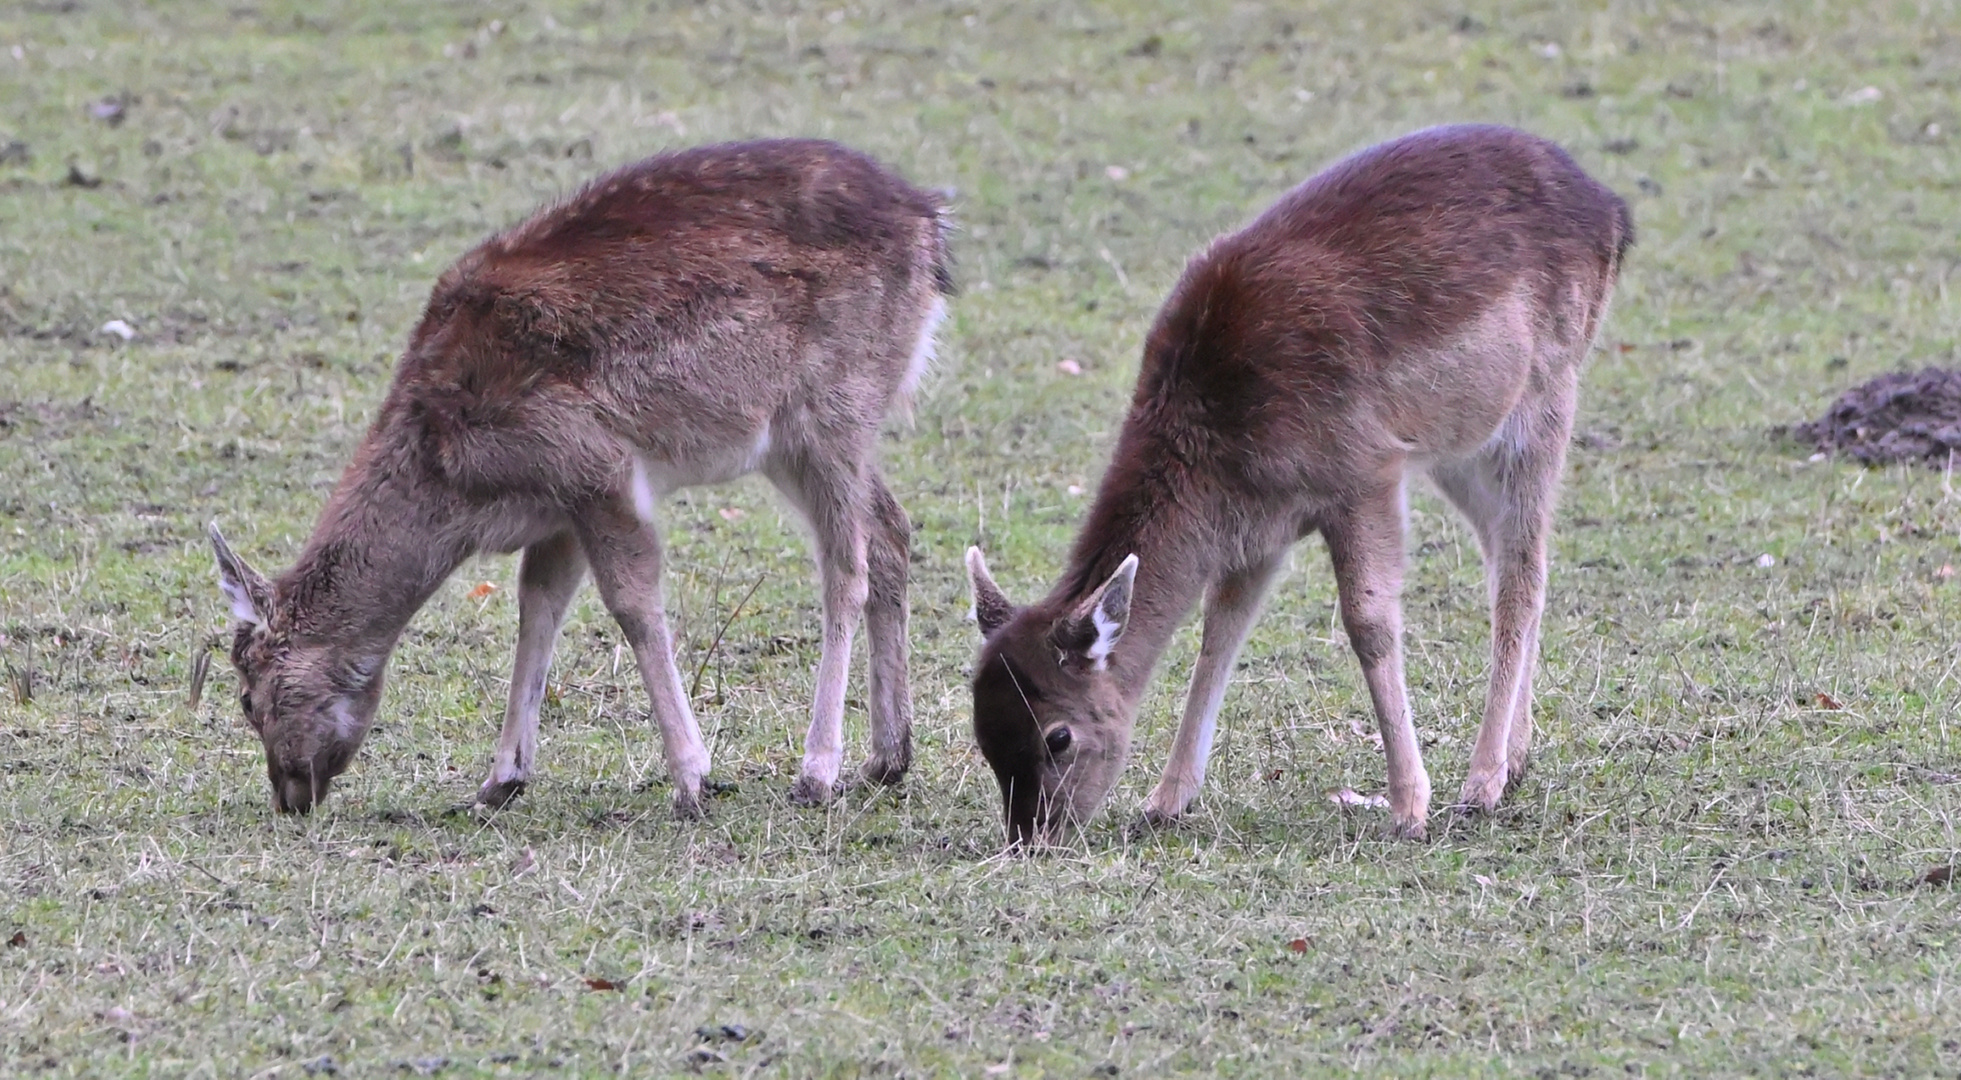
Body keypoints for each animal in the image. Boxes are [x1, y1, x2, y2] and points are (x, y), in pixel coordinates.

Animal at [214, 144, 949, 819]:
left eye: (248, 696)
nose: (289, 793)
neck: (458, 483)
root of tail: (932, 222)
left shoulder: (595, 464)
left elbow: (631, 603)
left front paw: (693, 779)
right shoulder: (558, 504)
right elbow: (538, 604)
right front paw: (500, 781)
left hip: (833, 408)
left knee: (845, 568)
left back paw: (818, 771)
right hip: (796, 443)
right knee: (891, 528)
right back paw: (887, 760)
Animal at [964, 126, 1623, 846]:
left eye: (1057, 736)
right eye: (982, 733)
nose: (1031, 837)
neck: (1222, 448)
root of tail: (1613, 210)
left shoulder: (1364, 471)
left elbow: (1367, 622)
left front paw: (1408, 806)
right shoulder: (1260, 526)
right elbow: (1220, 629)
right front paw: (1166, 800)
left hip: (1545, 395)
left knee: (1521, 574)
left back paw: (1481, 785)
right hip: (1461, 442)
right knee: (1509, 558)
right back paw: (1517, 758)